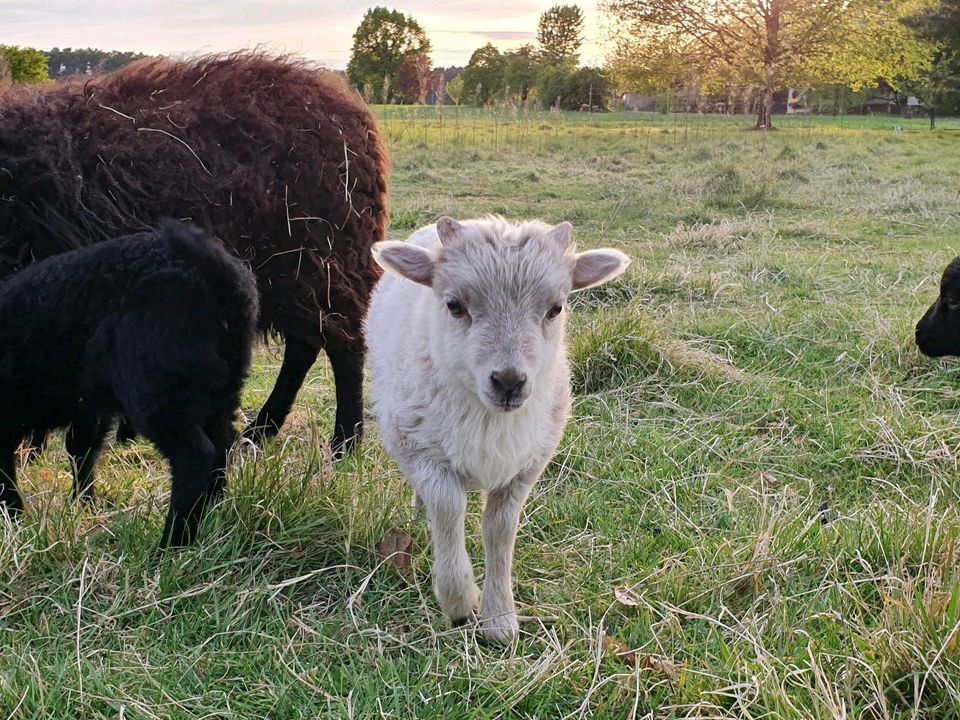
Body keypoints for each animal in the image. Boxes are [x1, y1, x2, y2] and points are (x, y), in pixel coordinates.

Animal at [0, 52, 390, 456]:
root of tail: (349, 109)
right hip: (293, 273)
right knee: (306, 347)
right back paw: (259, 433)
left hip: (321, 260)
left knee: (344, 345)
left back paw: (344, 441)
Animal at [0, 219, 258, 544]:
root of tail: (220, 281)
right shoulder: (86, 407)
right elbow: (80, 451)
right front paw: (85, 508)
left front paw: (14, 520)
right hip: (221, 387)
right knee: (223, 445)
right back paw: (213, 518)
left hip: (156, 387)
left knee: (195, 456)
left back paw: (172, 544)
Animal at [368, 217, 632, 644]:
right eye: (454, 305)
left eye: (556, 307)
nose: (509, 382)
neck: (491, 419)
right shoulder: (417, 446)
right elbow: (448, 508)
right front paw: (459, 600)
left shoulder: (527, 465)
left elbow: (500, 530)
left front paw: (500, 619)